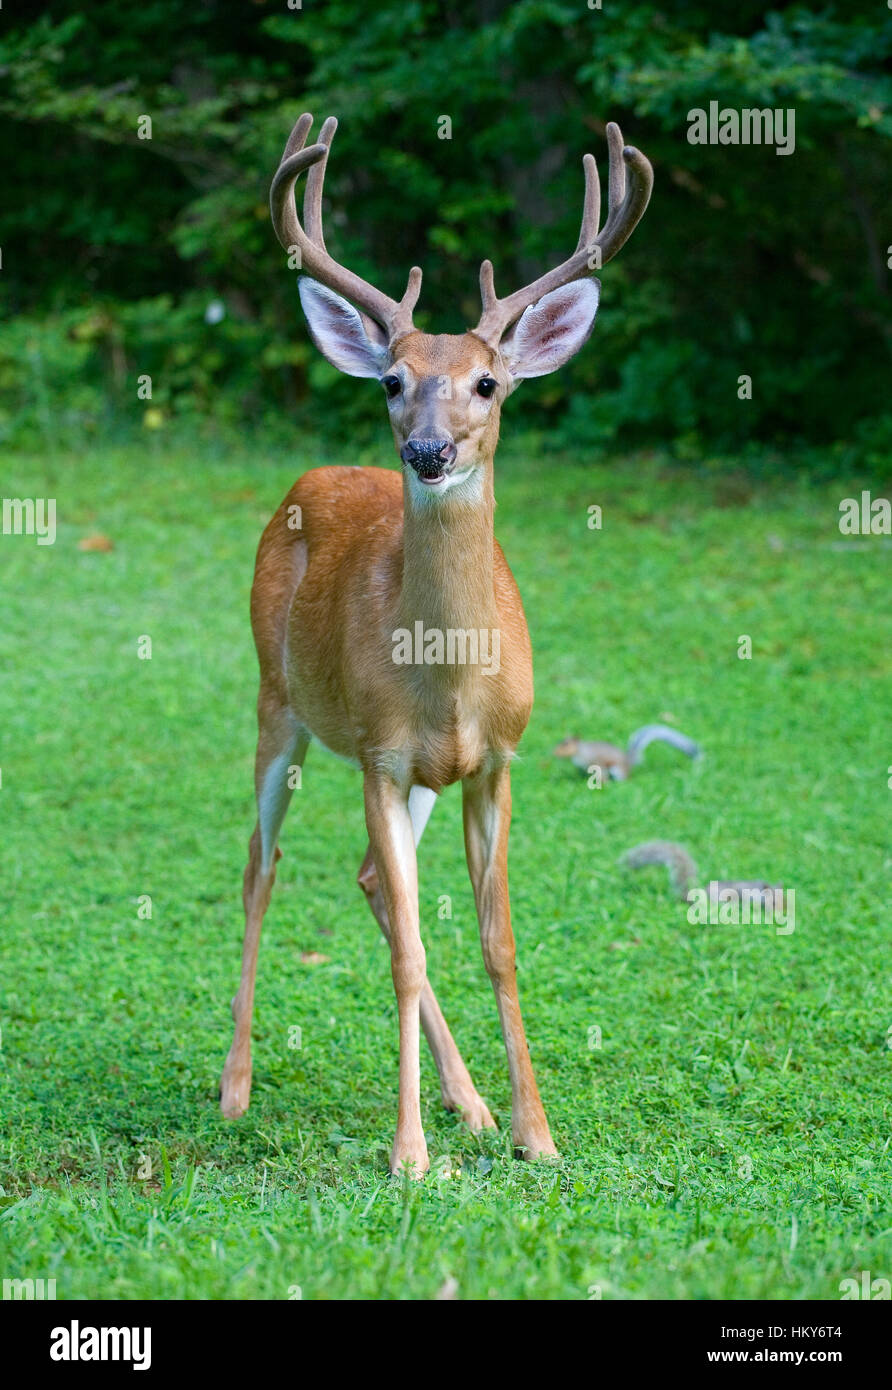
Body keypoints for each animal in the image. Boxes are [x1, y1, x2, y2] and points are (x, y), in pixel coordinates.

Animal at [219, 111, 650, 1173]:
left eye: (489, 382)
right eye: (391, 381)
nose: (426, 449)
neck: (449, 680)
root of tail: (311, 476)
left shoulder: (495, 759)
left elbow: (497, 943)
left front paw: (535, 1132)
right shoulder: (377, 754)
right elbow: (413, 949)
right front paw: (409, 1154)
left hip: (413, 772)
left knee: (373, 878)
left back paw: (474, 1104)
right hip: (277, 700)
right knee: (260, 867)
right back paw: (237, 1087)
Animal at [550, 728, 700, 783]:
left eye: (566, 745)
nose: (554, 752)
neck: (580, 751)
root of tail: (629, 763)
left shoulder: (596, 761)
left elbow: (602, 774)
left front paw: (604, 783)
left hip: (618, 770)